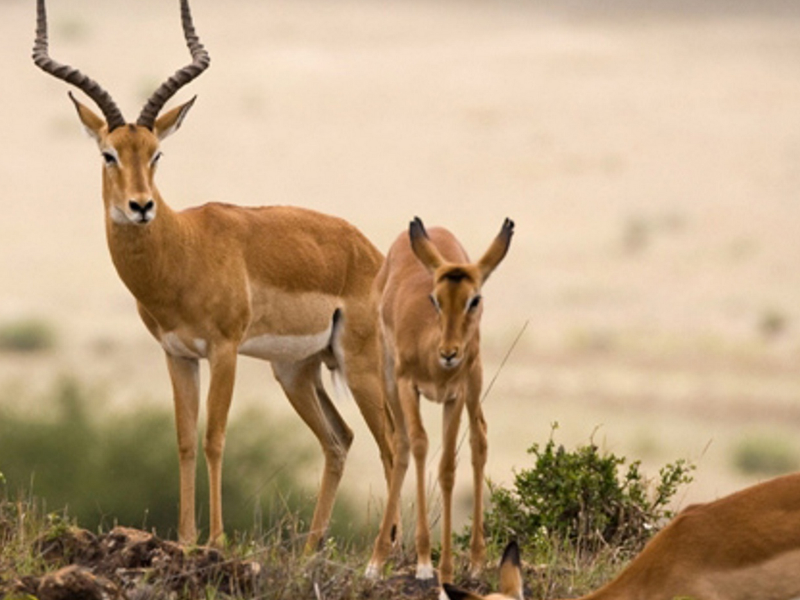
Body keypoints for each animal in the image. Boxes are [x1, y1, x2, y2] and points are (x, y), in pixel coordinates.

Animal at [32, 0, 396, 548]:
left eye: (157, 153)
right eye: (108, 154)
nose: (141, 206)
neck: (185, 249)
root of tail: (371, 254)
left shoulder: (224, 351)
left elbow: (215, 438)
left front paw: (217, 540)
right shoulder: (178, 354)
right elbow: (184, 439)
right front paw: (185, 539)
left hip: (360, 364)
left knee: (395, 445)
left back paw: (387, 554)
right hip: (297, 369)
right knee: (340, 439)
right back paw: (312, 550)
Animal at [368, 217, 512, 584]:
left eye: (474, 299)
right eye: (435, 299)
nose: (449, 353)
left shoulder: (455, 394)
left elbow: (447, 466)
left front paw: (445, 568)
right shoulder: (407, 386)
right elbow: (419, 445)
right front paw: (422, 562)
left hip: (475, 381)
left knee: (479, 439)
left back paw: (475, 560)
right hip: (388, 378)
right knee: (402, 444)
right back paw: (377, 560)